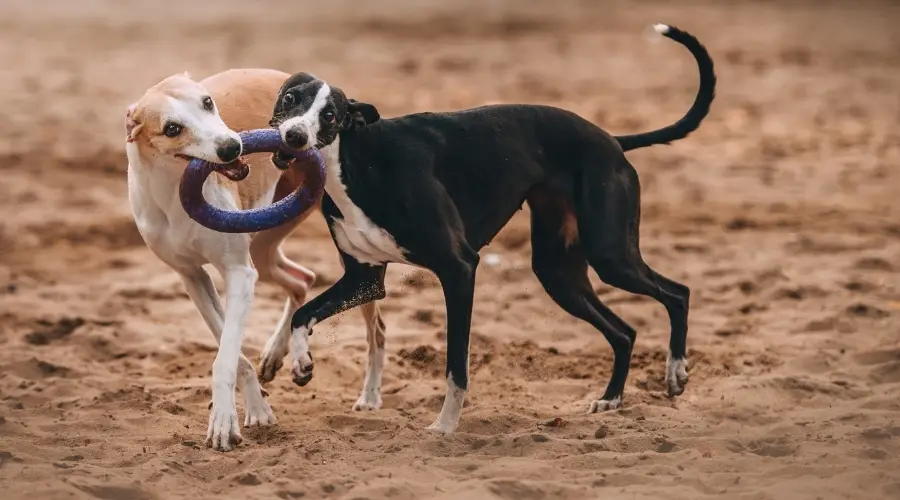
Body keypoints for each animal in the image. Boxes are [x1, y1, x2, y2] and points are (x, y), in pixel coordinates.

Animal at [124, 69, 386, 454]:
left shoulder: (239, 274)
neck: (172, 193)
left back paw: (369, 397)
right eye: (172, 128)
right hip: (264, 250)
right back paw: (277, 354)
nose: (231, 147)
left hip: (349, 258)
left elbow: (226, 356)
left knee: (375, 327)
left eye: (207, 102)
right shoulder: (193, 278)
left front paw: (225, 421)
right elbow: (232, 351)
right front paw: (254, 408)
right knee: (302, 278)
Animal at [264, 23, 712, 432]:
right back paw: (612, 399)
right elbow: (302, 313)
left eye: (330, 115)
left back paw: (676, 371)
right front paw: (300, 364)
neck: (359, 159)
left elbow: (455, 365)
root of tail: (612, 140)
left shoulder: (460, 268)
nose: (294, 136)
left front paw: (445, 427)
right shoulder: (365, 279)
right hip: (559, 273)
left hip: (610, 253)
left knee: (678, 293)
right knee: (624, 332)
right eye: (290, 98)